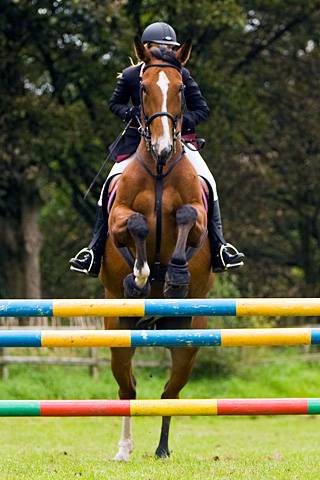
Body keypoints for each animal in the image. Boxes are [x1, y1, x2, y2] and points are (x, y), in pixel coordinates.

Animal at [100, 38, 214, 462]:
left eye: (180, 89)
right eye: (144, 88)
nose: (165, 147)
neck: (162, 170)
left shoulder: (198, 214)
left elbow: (185, 215)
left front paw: (176, 273)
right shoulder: (119, 216)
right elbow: (136, 225)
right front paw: (141, 274)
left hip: (190, 337)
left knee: (170, 394)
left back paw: (162, 450)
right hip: (118, 331)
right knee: (128, 391)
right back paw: (124, 449)